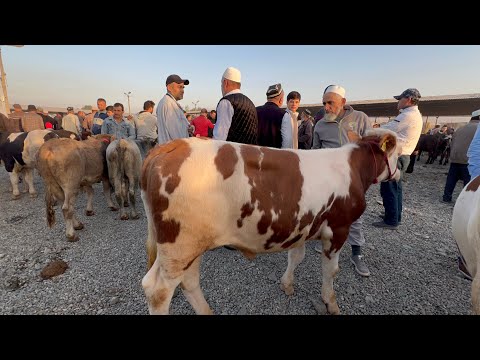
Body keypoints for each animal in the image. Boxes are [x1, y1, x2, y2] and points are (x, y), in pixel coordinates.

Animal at [140, 128, 402, 314]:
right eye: (398, 154)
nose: (399, 172)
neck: (353, 169)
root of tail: (171, 145)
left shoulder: (302, 224)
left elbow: (296, 256)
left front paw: (287, 284)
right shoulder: (338, 228)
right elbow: (331, 270)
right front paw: (330, 302)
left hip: (186, 246)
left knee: (188, 281)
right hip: (179, 245)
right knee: (158, 291)